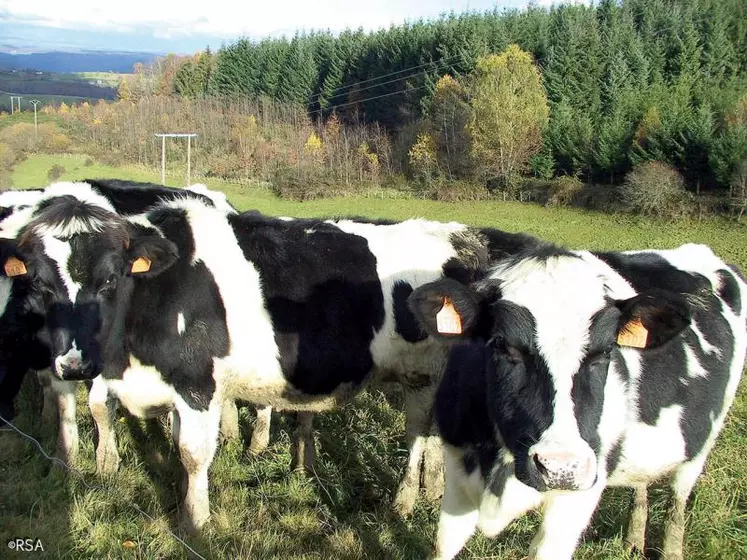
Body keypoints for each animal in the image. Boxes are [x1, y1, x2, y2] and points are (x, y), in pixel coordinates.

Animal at [0, 180, 240, 468]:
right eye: (40, 283)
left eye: (109, 280)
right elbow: (62, 396)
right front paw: (65, 455)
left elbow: (99, 404)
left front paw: (105, 460)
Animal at [410, 242, 747, 560]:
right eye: (501, 344)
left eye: (606, 351)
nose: (561, 468)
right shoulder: (457, 470)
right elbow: (442, 546)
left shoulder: (579, 495)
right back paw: (632, 541)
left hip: (703, 441)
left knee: (678, 500)